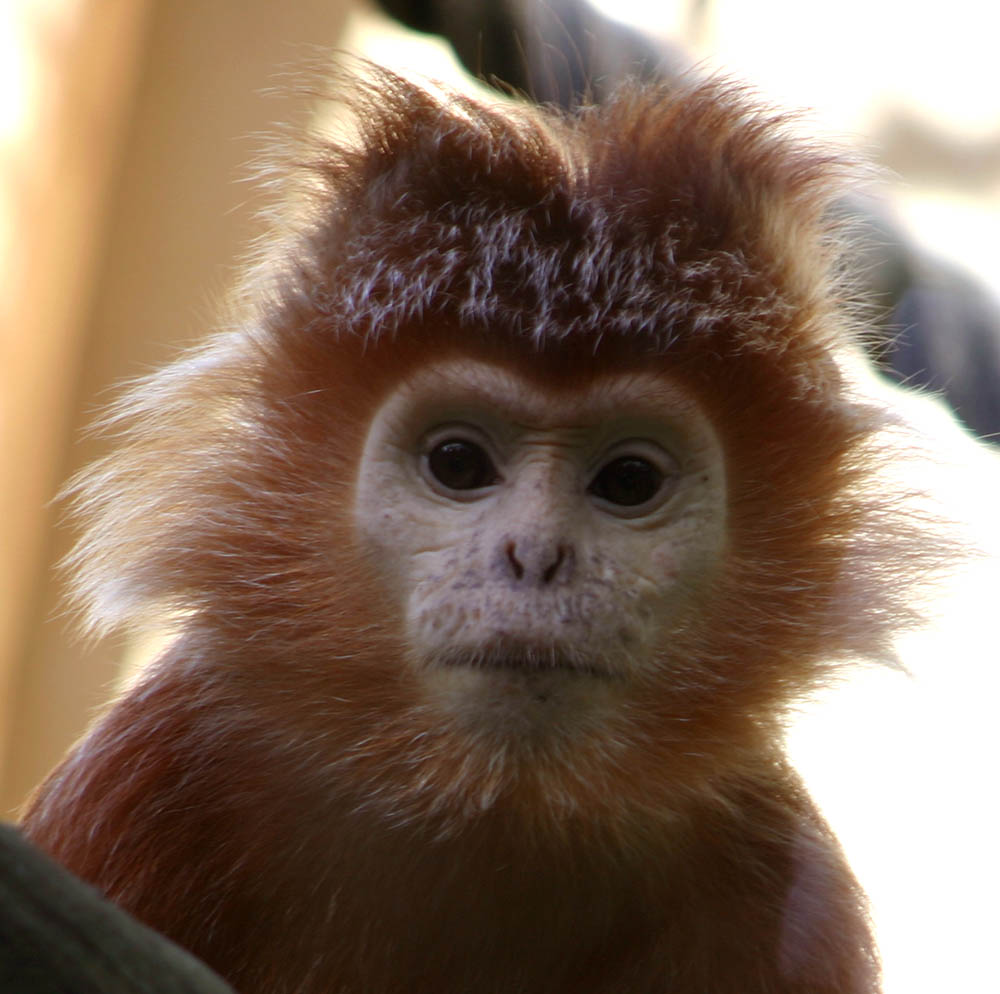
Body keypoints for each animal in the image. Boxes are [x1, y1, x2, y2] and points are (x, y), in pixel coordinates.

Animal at [19, 71, 948, 992]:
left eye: (629, 482)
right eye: (458, 464)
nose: (534, 558)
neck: (490, 801)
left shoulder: (783, 879)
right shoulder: (152, 770)